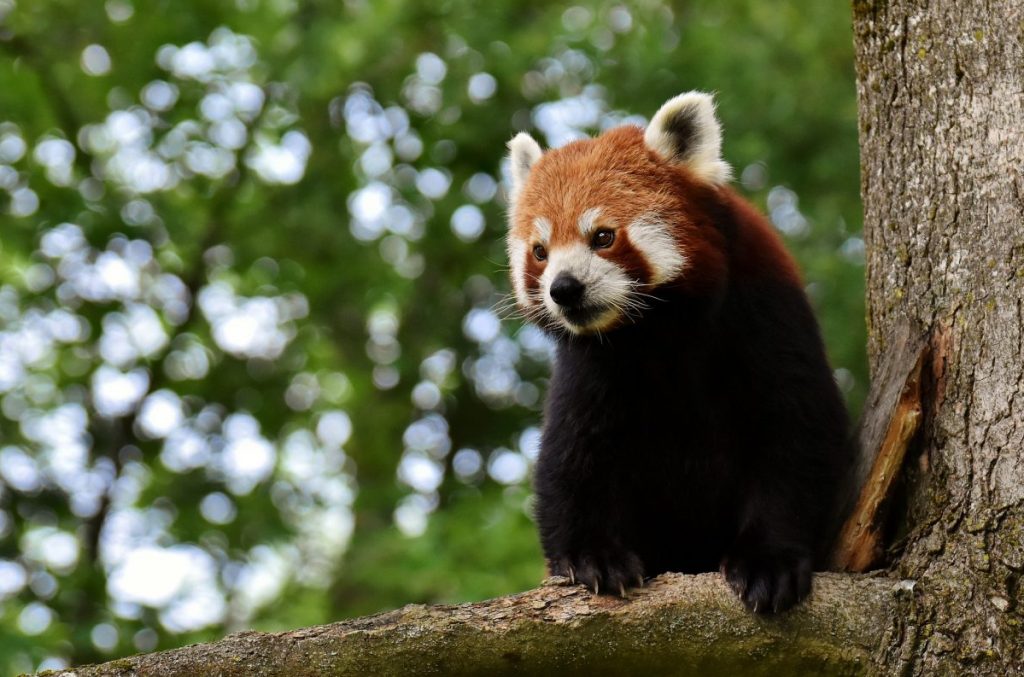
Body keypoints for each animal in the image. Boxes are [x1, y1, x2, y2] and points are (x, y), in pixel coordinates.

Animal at [504, 92, 850, 614]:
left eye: (602, 236)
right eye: (540, 251)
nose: (563, 289)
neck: (656, 332)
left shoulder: (766, 315)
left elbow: (796, 434)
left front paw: (768, 562)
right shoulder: (591, 365)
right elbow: (571, 456)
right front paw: (593, 557)